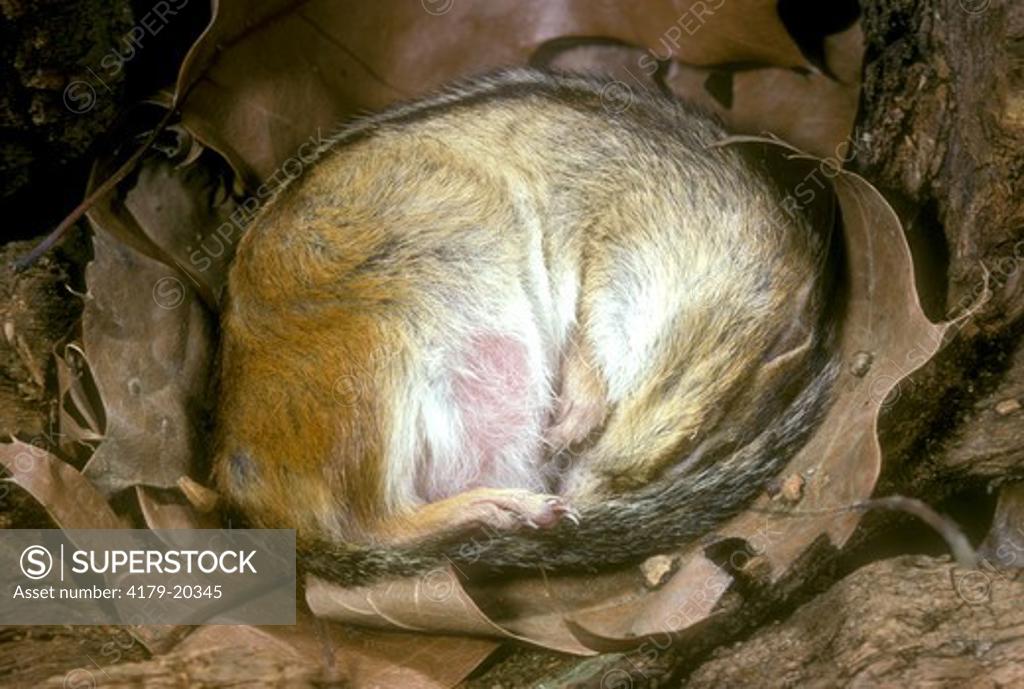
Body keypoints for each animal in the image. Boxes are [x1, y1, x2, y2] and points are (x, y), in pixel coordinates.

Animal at [211, 68, 842, 586]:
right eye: (692, 439)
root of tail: (257, 502)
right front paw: (572, 420)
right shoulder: (609, 244)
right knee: (370, 520)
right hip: (371, 362)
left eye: (712, 449)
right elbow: (588, 333)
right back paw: (506, 508)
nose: (574, 494)